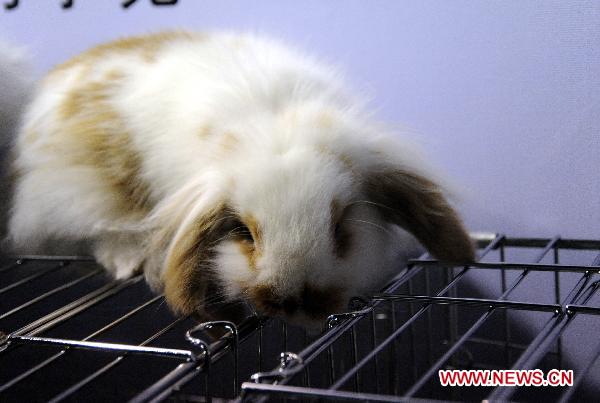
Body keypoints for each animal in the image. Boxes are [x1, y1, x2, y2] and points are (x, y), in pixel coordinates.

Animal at [4, 31, 474, 328]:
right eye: (244, 233)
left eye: (341, 227)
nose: (294, 304)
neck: (275, 123)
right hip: (75, 195)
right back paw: (127, 259)